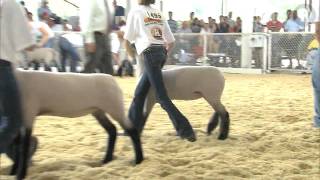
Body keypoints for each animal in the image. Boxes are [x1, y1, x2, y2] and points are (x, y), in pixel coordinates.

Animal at [10, 70, 143, 179]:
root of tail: (111, 79)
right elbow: (17, 143)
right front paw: (13, 171)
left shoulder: (29, 112)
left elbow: (24, 145)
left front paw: (20, 175)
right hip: (98, 110)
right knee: (112, 129)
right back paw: (106, 160)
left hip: (115, 107)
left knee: (132, 130)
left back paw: (138, 160)